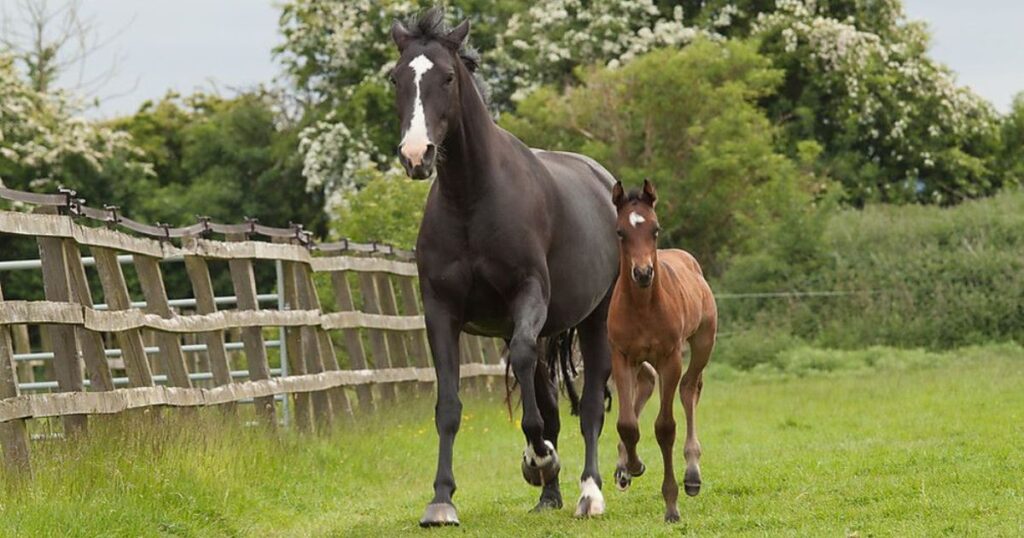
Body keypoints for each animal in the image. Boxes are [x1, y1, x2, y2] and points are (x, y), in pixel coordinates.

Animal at [388, 9, 620, 526]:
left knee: (590, 409)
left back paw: (588, 494)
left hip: (594, 320)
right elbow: (449, 405)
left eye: (447, 77)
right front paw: (441, 500)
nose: (417, 156)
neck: (473, 197)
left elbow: (529, 375)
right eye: (396, 79)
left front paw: (539, 458)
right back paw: (549, 495)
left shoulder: (527, 296)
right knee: (550, 401)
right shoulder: (441, 311)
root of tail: (603, 181)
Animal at [606, 180, 717, 522]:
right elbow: (627, 424)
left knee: (689, 388)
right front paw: (632, 465)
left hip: (703, 342)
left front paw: (671, 505)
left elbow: (665, 428)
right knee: (644, 391)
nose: (643, 273)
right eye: (620, 232)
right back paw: (623, 467)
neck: (643, 307)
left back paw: (692, 474)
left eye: (655, 229)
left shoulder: (670, 358)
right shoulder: (621, 356)